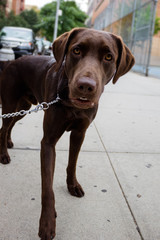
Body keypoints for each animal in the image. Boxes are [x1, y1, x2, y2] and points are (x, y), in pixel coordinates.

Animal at [0, 27, 135, 238]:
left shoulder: (79, 133)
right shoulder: (48, 141)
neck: (72, 104)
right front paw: (47, 223)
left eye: (108, 57)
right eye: (76, 51)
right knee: (4, 126)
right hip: (10, 103)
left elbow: (72, 163)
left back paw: (8, 143)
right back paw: (3, 154)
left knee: (10, 125)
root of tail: (11, 61)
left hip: (23, 107)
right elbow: (47, 188)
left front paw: (73, 186)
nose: (86, 86)